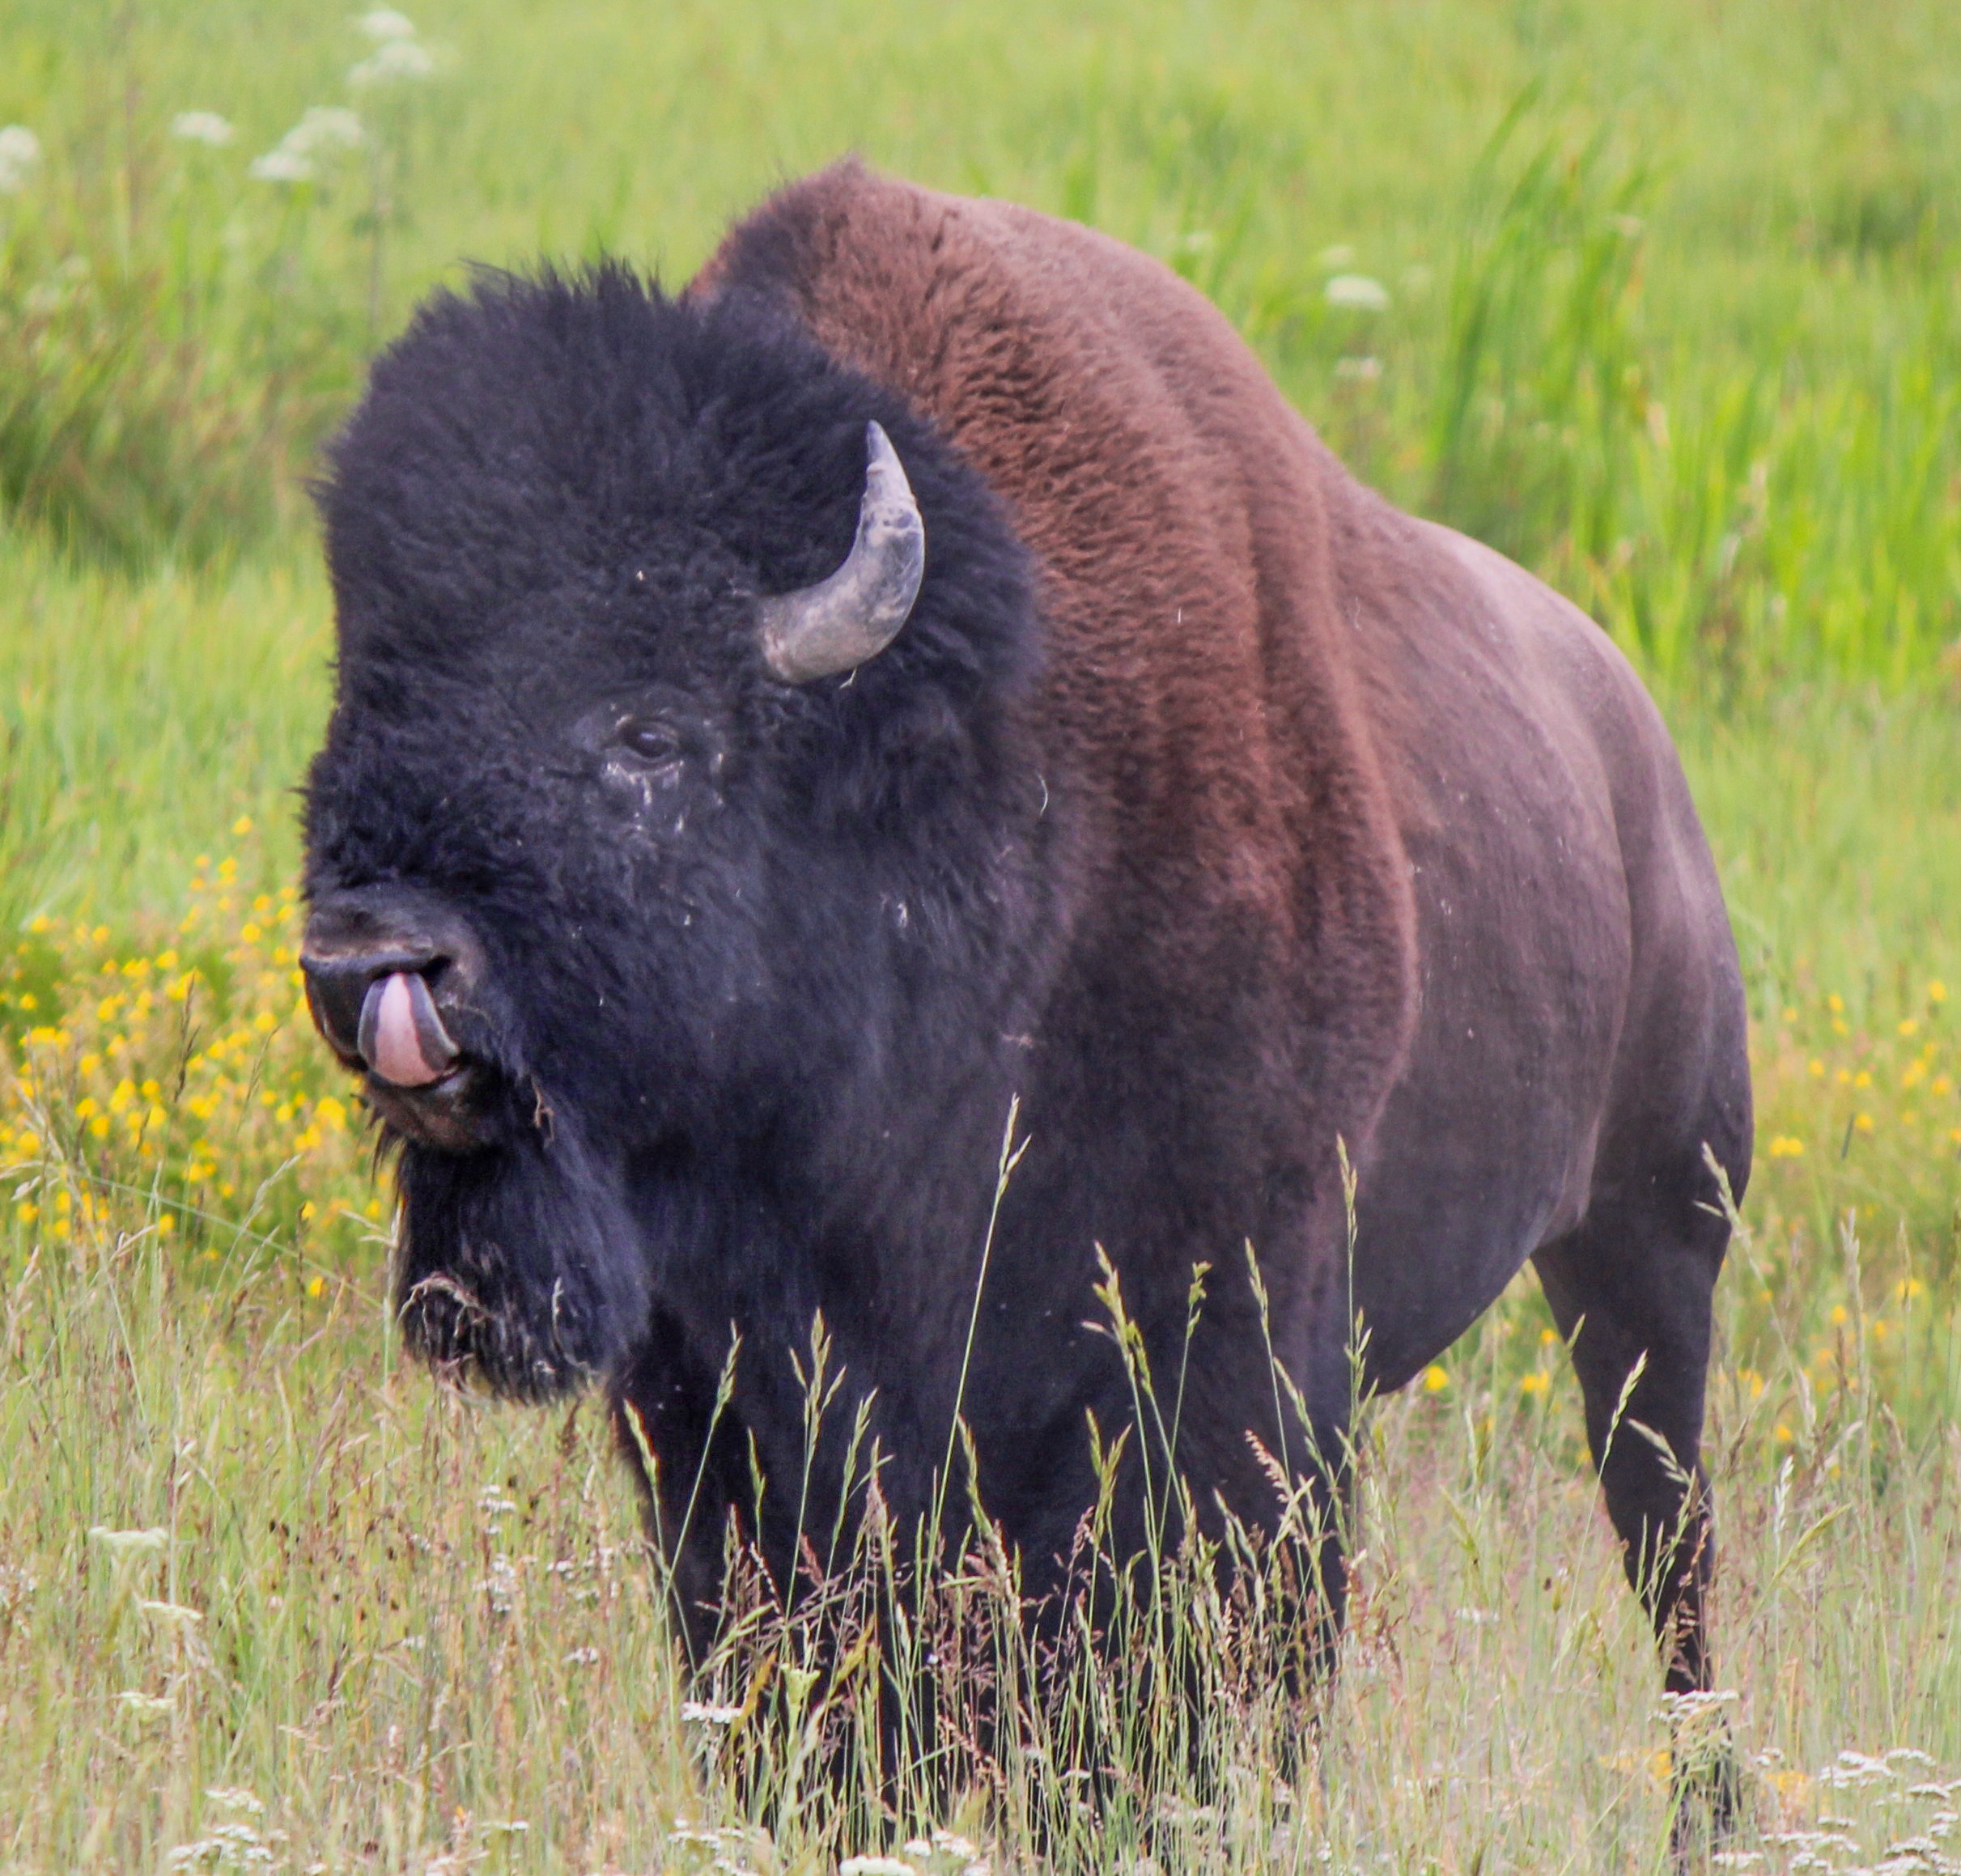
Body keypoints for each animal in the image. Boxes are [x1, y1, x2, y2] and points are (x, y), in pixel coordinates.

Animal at [299, 160, 1751, 1797]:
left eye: (649, 729)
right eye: (362, 693)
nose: (366, 961)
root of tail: (1633, 739)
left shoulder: (1225, 1352)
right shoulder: (726, 1403)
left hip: (1650, 1244)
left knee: (1670, 1553)